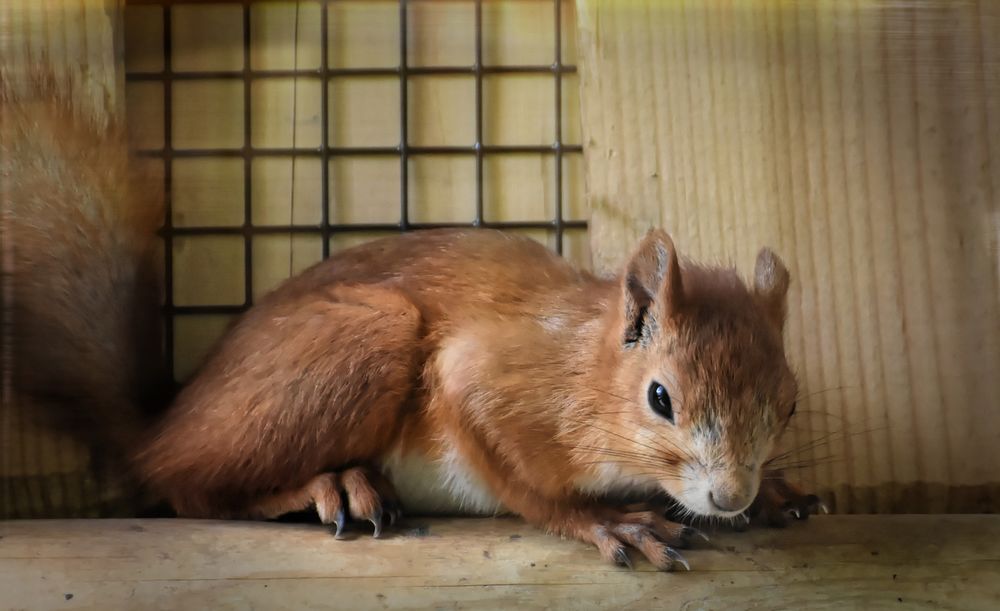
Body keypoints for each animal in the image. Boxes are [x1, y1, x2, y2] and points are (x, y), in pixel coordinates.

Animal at [4, 69, 822, 571]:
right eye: (659, 398)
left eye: (788, 404)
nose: (731, 497)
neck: (586, 369)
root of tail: (160, 427)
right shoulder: (483, 382)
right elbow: (522, 484)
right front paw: (604, 519)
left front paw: (779, 494)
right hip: (367, 339)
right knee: (192, 491)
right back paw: (325, 487)